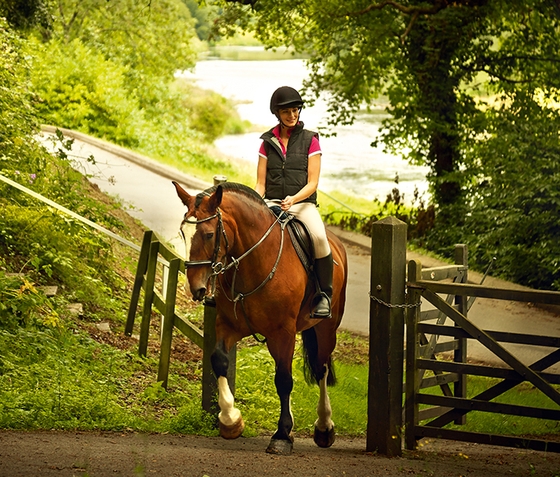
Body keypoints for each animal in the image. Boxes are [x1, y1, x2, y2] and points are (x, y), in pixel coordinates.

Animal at [173, 179, 348, 454]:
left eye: (209, 234)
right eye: (183, 233)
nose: (197, 288)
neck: (254, 261)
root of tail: (337, 244)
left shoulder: (283, 333)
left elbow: (284, 380)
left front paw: (282, 435)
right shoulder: (228, 325)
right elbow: (219, 360)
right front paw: (230, 421)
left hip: (325, 328)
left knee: (321, 369)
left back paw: (323, 427)